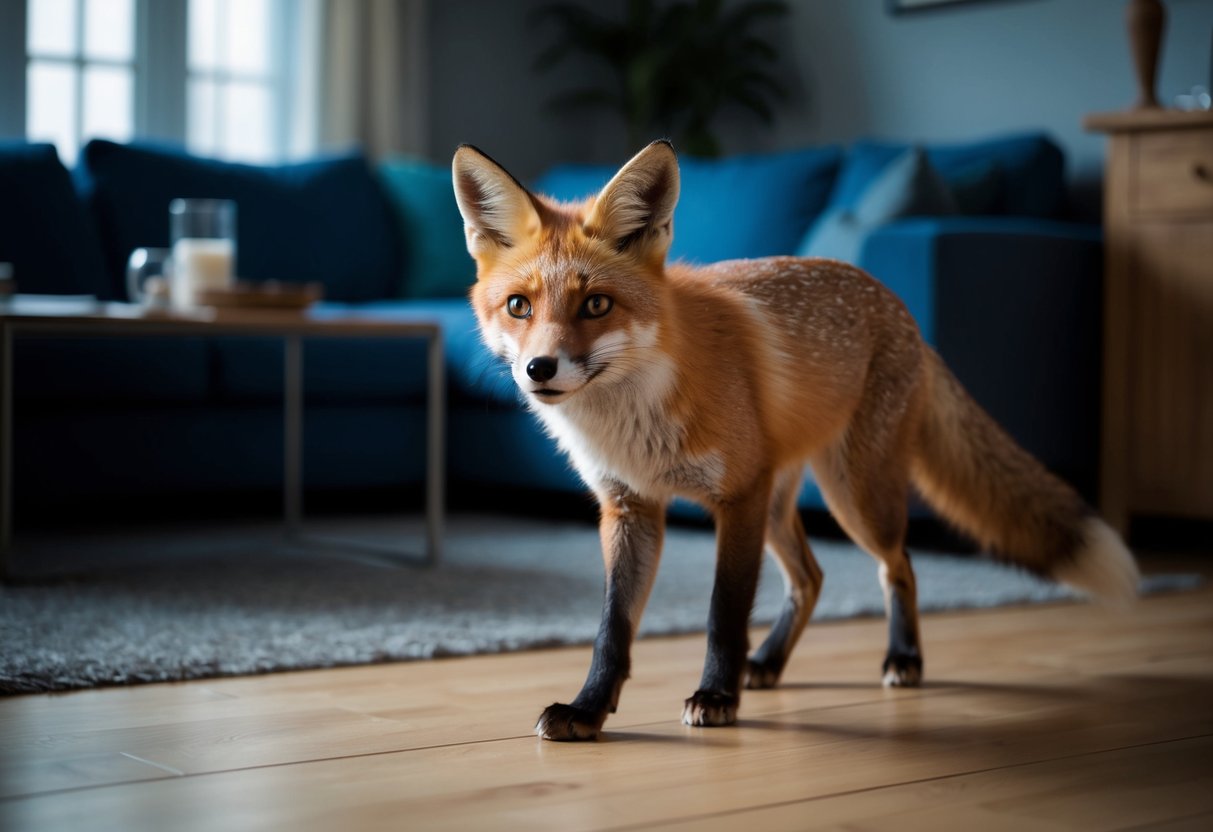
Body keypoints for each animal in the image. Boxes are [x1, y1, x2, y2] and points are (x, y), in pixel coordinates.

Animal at [451, 140, 1140, 742]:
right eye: (519, 306)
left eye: (596, 304)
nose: (539, 369)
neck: (634, 417)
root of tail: (902, 310)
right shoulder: (631, 507)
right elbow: (611, 629)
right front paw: (589, 710)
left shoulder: (737, 498)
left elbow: (724, 612)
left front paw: (716, 695)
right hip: (782, 505)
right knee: (811, 578)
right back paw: (770, 664)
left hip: (852, 496)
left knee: (899, 566)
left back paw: (903, 658)